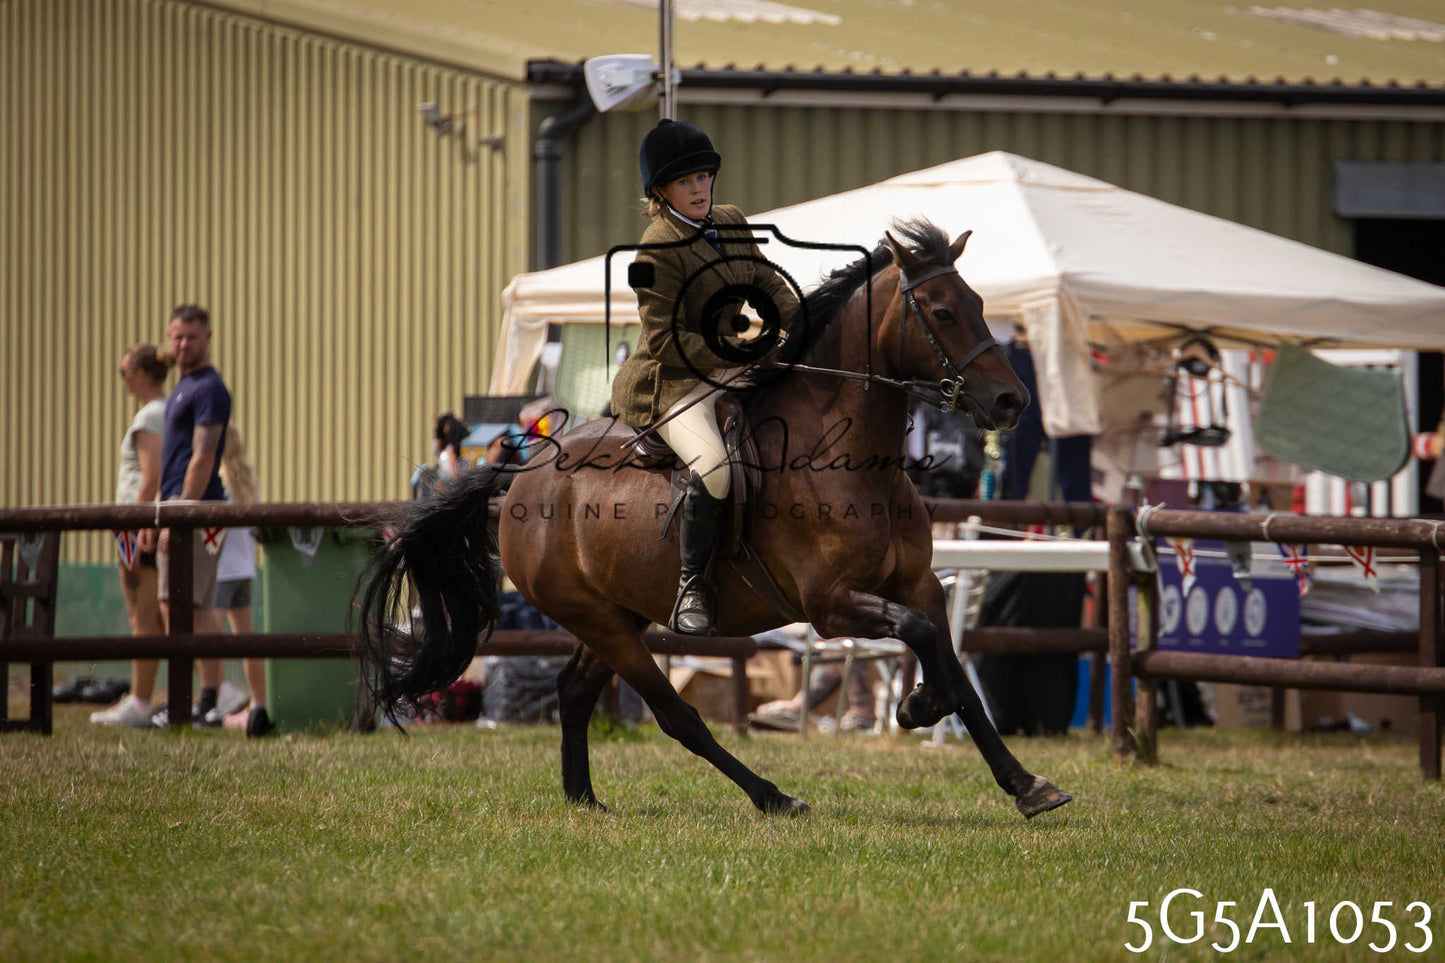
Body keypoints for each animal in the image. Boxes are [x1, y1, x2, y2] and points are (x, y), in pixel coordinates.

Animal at [359, 218, 1073, 819]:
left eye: (980, 303)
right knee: (675, 715)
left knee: (574, 691)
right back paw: (773, 797)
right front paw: (922, 704)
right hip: (601, 621)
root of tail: (525, 471)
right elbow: (925, 640)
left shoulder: (917, 584)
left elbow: (955, 666)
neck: (847, 457)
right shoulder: (831, 605)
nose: (1011, 401)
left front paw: (1022, 781)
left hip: (616, 615)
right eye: (945, 312)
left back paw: (584, 800)